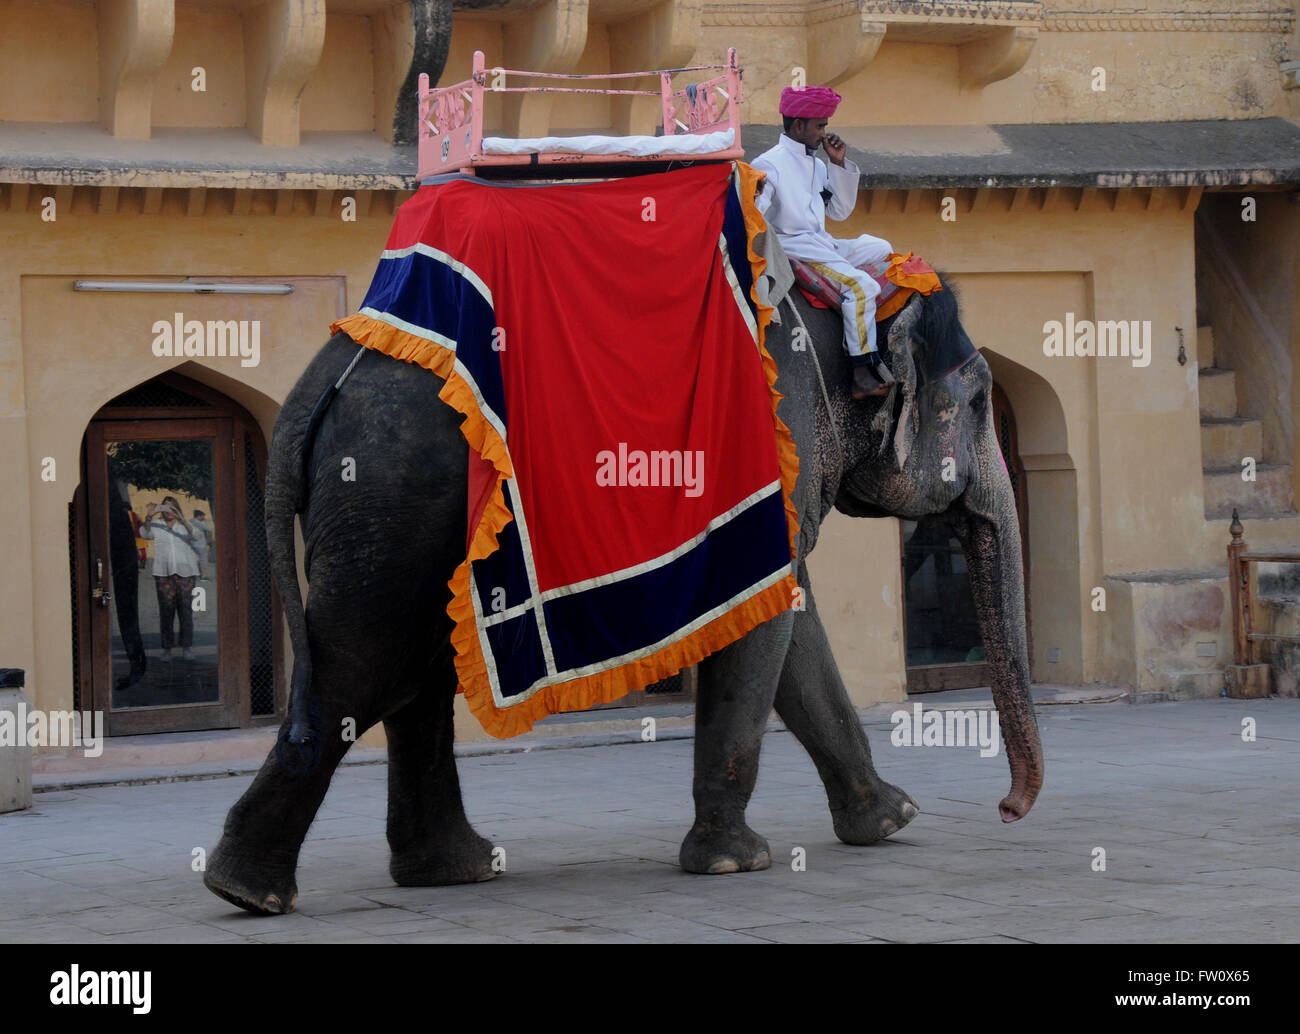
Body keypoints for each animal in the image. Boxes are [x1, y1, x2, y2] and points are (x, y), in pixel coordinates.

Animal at [202, 270, 1045, 915]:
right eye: (978, 402)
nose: (1008, 812)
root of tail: (321, 379)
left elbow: (785, 613)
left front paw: (891, 822)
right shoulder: (779, 433)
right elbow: (765, 619)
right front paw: (739, 863)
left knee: (415, 670)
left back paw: (447, 872)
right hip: (396, 491)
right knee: (365, 666)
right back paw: (251, 892)